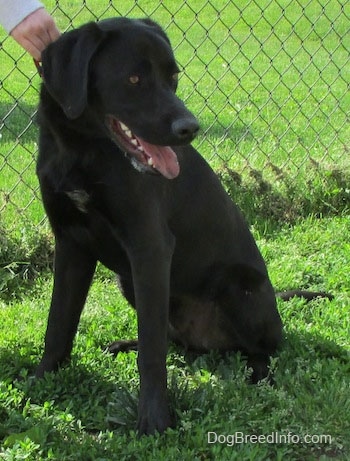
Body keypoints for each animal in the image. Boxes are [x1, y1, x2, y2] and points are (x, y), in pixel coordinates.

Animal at [35, 18, 284, 434]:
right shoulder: (71, 243)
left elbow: (152, 354)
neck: (83, 150)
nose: (190, 128)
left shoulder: (149, 247)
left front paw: (154, 420)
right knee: (170, 339)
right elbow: (59, 323)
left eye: (173, 77)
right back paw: (125, 344)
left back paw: (257, 373)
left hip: (238, 286)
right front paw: (41, 380)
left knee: (267, 349)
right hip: (128, 281)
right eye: (134, 78)